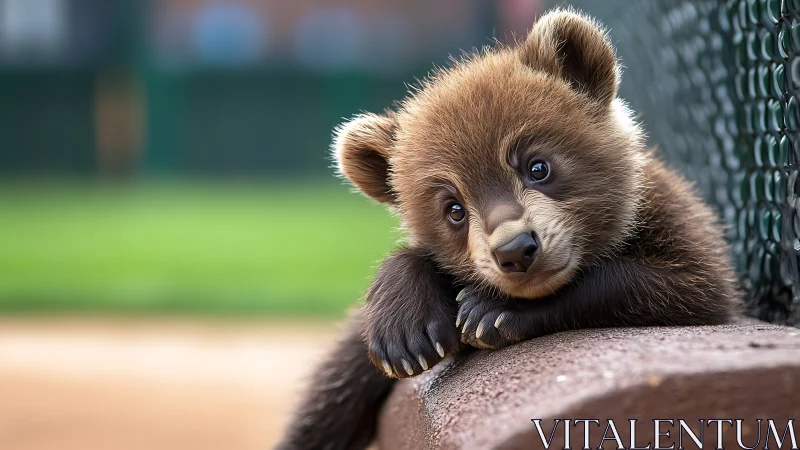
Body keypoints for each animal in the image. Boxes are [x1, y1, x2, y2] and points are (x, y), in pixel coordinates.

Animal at [277, 8, 741, 450]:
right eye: (453, 209)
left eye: (538, 166)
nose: (515, 249)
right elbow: (344, 377)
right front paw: (405, 334)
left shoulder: (675, 226)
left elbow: (677, 283)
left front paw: (490, 310)